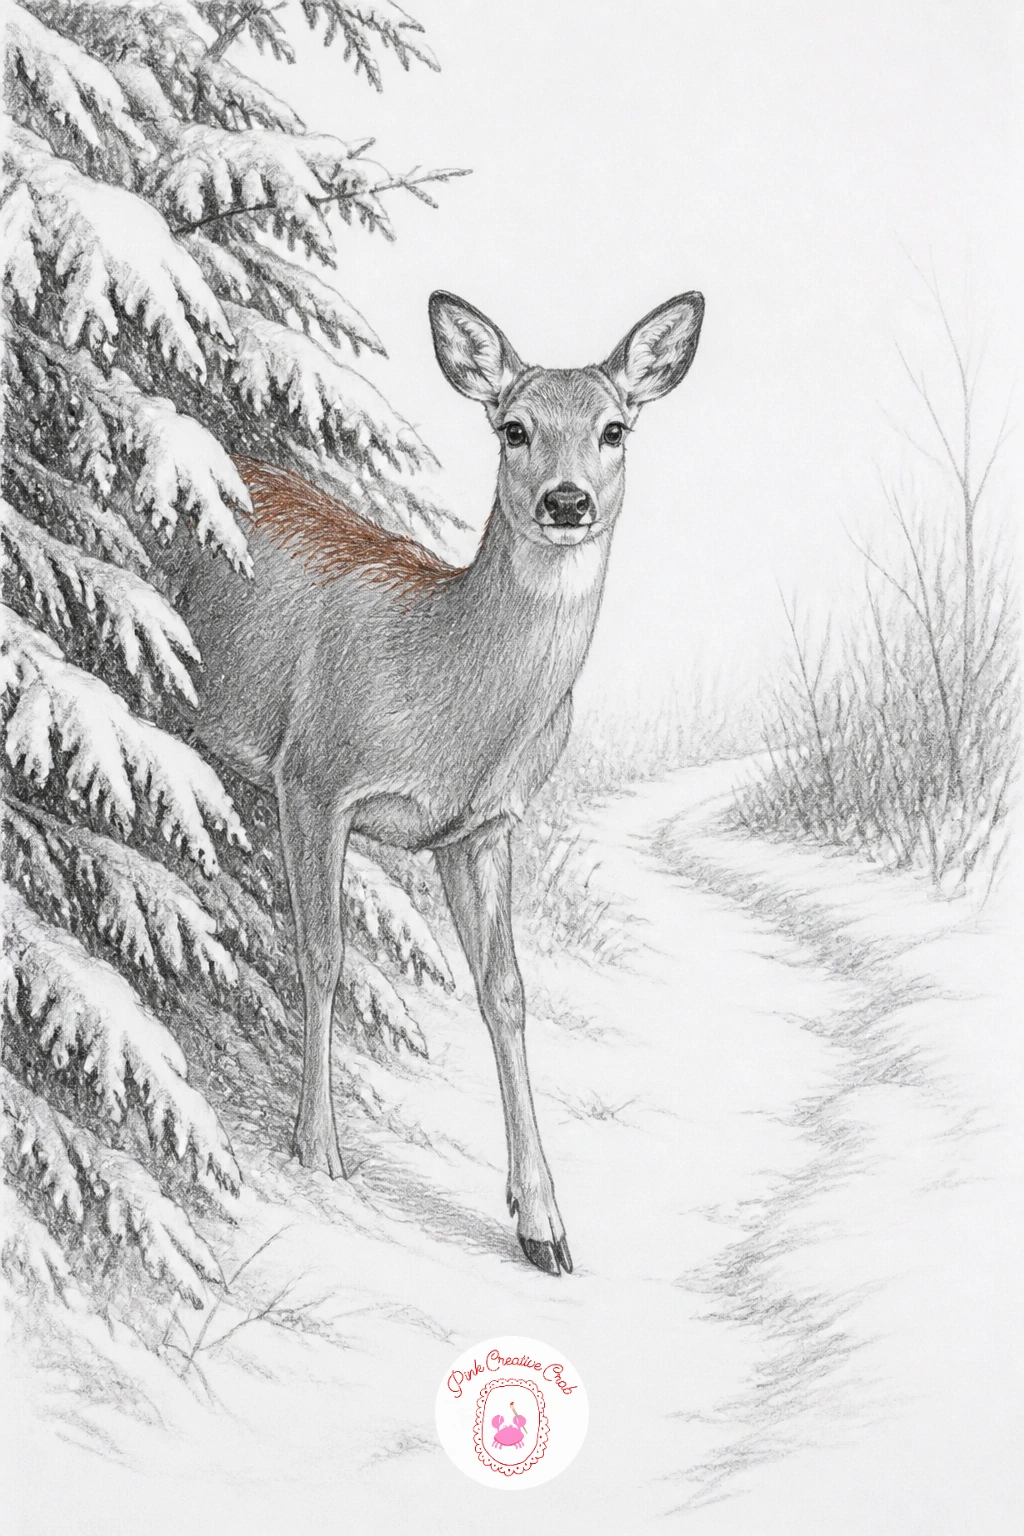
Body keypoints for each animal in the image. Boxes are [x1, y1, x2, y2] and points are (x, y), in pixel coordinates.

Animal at [165, 289, 704, 1275]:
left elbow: (507, 993)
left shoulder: (482, 829)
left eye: (615, 428)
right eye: (513, 428)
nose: (565, 501)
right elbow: (325, 955)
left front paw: (542, 1222)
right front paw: (319, 1153)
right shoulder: (314, 777)